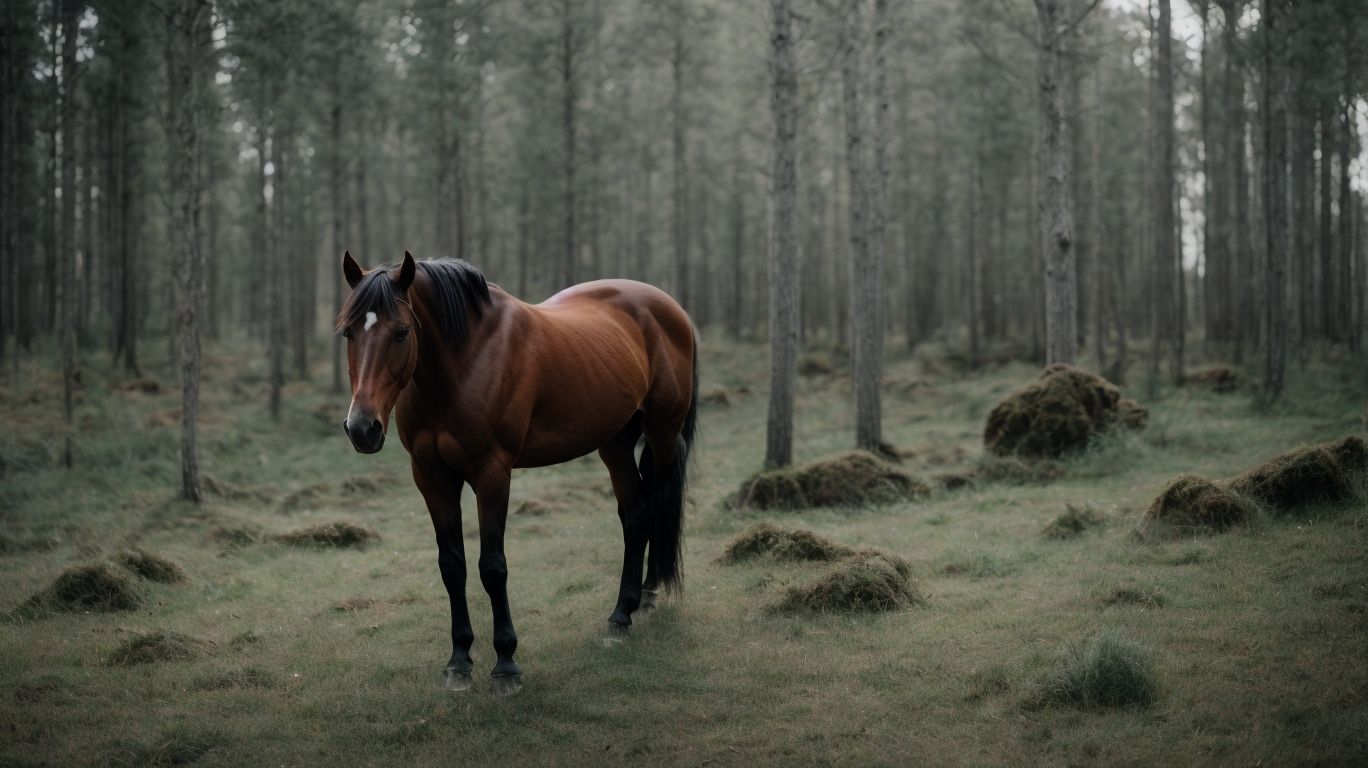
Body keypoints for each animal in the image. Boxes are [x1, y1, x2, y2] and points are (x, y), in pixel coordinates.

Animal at [336, 251, 697, 693]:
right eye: (348, 333)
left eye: (402, 332)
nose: (362, 428)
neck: (466, 361)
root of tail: (671, 309)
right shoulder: (432, 476)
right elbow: (452, 565)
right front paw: (459, 659)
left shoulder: (493, 472)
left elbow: (492, 567)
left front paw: (506, 663)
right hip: (615, 442)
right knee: (637, 514)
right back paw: (623, 614)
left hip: (662, 433)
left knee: (659, 506)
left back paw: (644, 598)